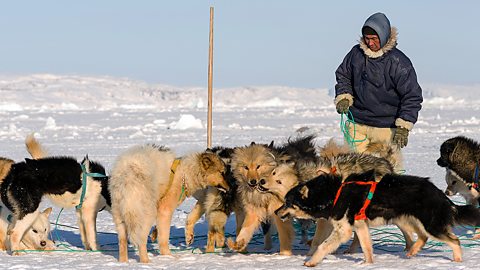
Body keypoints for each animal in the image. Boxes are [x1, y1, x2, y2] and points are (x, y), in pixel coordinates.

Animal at [276, 171, 480, 266]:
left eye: (287, 202)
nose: (277, 212)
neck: (333, 194)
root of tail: (440, 194)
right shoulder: (360, 227)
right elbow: (366, 247)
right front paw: (367, 264)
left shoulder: (344, 230)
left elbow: (323, 246)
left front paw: (311, 262)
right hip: (410, 221)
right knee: (422, 238)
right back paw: (412, 252)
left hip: (429, 224)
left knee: (454, 240)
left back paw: (457, 260)